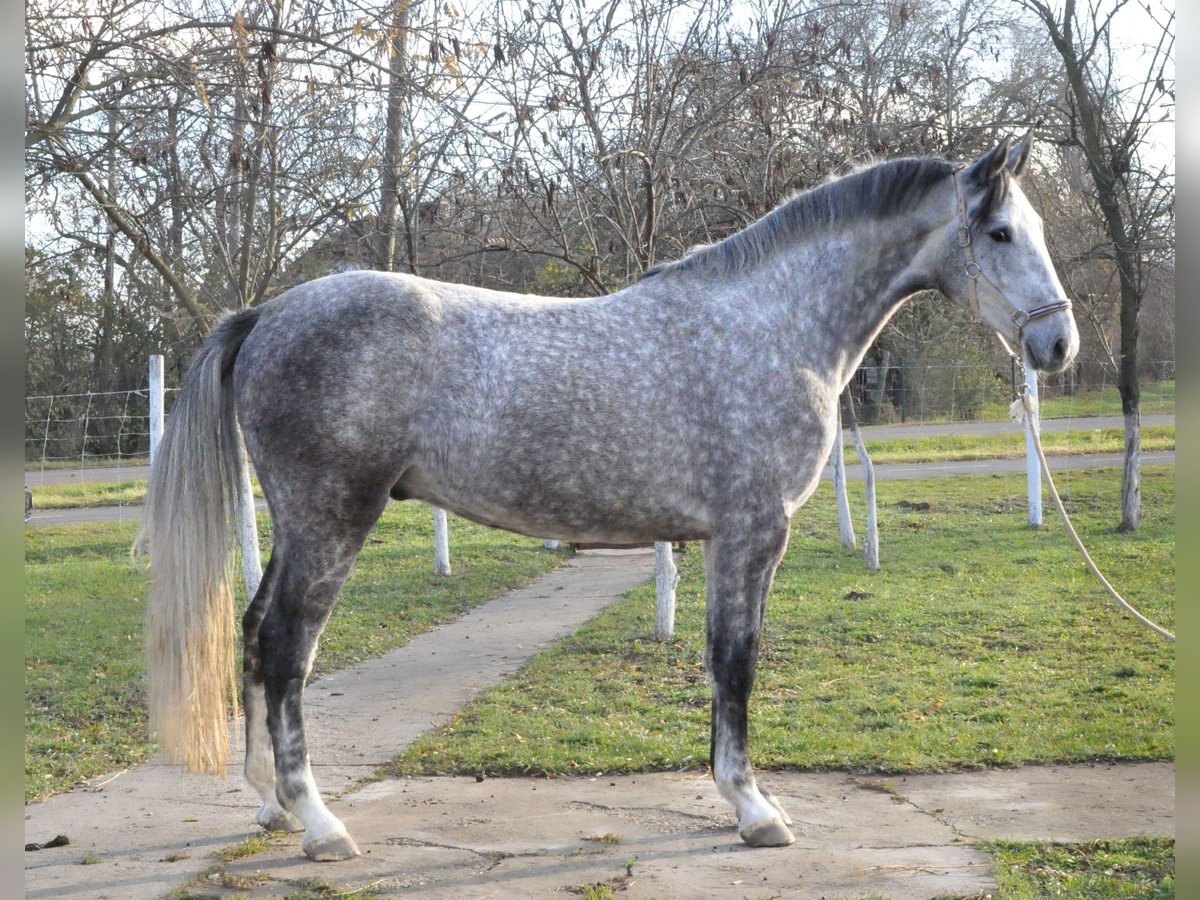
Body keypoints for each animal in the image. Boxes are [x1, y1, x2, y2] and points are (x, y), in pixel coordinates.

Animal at [138, 133, 1080, 859]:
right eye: (999, 232)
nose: (1058, 344)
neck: (772, 325)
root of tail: (266, 314)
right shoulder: (751, 534)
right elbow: (735, 663)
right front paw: (753, 809)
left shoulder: (725, 540)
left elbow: (722, 662)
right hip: (332, 519)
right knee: (286, 649)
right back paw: (320, 824)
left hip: (302, 526)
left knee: (255, 634)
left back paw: (269, 802)